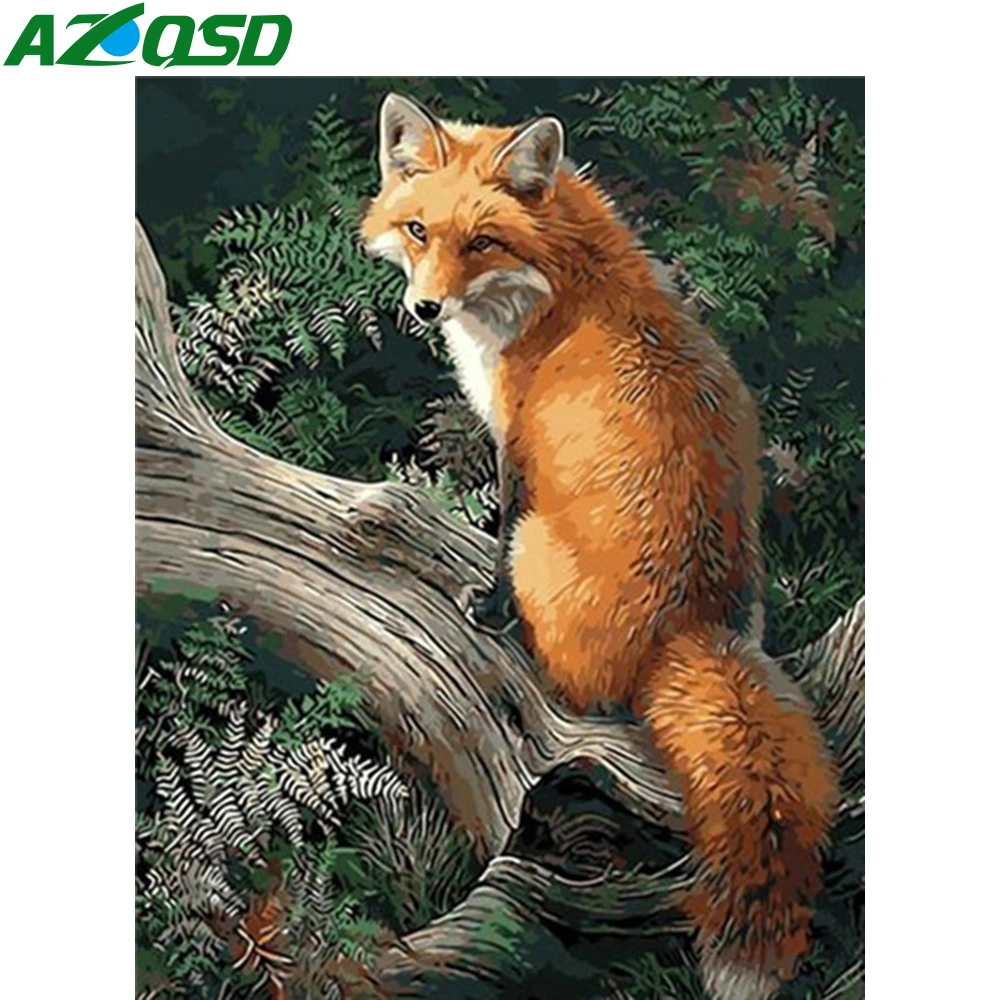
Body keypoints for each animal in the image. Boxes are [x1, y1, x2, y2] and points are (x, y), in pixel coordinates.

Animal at [361, 93, 838, 1000]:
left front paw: (488, 609)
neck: (563, 279)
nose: (425, 310)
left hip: (543, 551)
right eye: (418, 230)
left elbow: (498, 528)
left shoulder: (516, 443)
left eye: (481, 241)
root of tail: (691, 629)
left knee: (576, 686)